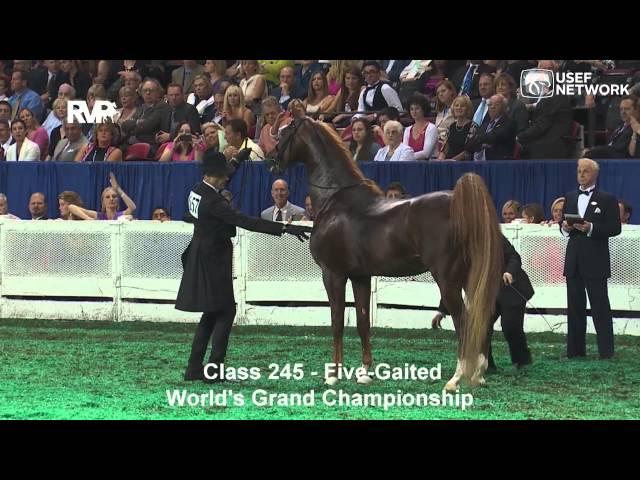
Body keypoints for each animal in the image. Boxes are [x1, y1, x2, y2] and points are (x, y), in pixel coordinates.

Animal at [268, 117, 502, 390]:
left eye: (284, 132)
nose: (272, 161)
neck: (336, 200)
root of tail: (460, 203)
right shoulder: (360, 277)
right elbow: (362, 321)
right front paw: (364, 372)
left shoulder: (333, 274)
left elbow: (337, 321)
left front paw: (333, 374)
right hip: (469, 277)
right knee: (482, 320)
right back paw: (478, 374)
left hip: (448, 280)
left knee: (463, 322)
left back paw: (455, 379)